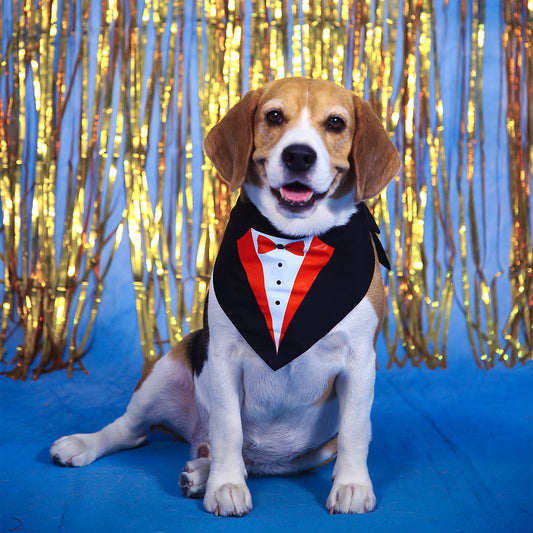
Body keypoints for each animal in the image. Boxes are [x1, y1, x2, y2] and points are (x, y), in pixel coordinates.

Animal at [50, 77, 400, 512]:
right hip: (168, 369)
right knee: (135, 432)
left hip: (308, 452)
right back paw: (89, 445)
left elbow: (355, 430)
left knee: (247, 459)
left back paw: (201, 472)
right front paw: (226, 485)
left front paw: (351, 484)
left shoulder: (359, 362)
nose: (299, 155)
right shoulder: (223, 357)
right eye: (274, 116)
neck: (290, 241)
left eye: (336, 123)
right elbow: (229, 427)